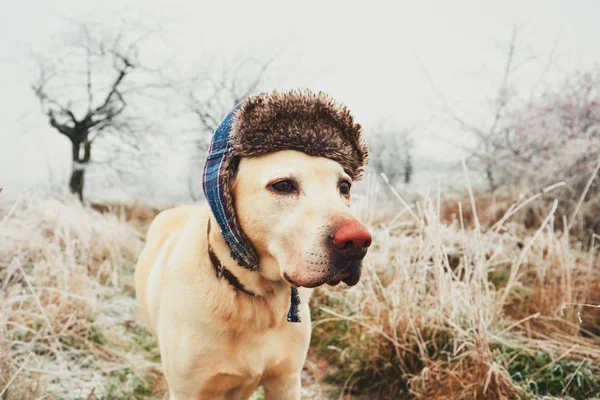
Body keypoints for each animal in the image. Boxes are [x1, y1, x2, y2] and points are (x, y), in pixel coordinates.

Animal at [134, 89, 372, 398]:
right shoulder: (190, 389)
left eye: (344, 187)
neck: (256, 298)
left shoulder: (285, 381)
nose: (358, 241)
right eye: (283, 185)